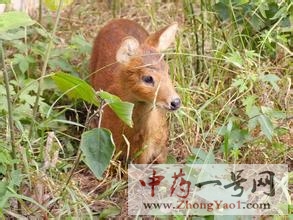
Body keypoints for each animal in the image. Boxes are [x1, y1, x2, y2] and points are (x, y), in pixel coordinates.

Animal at [89, 18, 180, 163]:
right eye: (148, 78)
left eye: (167, 70)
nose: (175, 102)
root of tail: (118, 20)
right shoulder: (112, 147)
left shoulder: (161, 148)